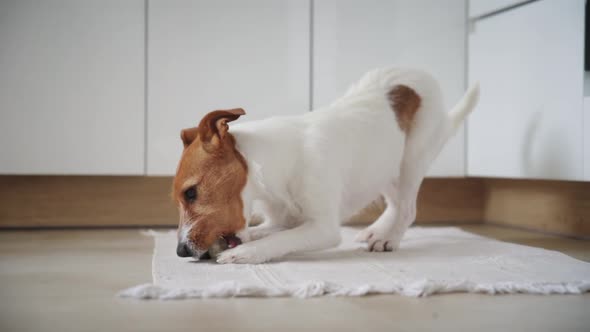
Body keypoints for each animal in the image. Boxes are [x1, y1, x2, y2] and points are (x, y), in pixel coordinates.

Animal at [172, 68, 480, 264]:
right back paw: (377, 231)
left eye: (191, 193)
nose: (181, 252)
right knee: (394, 205)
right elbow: (261, 230)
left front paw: (245, 253)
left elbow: (280, 239)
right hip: (385, 167)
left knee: (407, 209)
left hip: (411, 163)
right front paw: (247, 241)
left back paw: (389, 239)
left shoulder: (323, 227)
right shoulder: (282, 219)